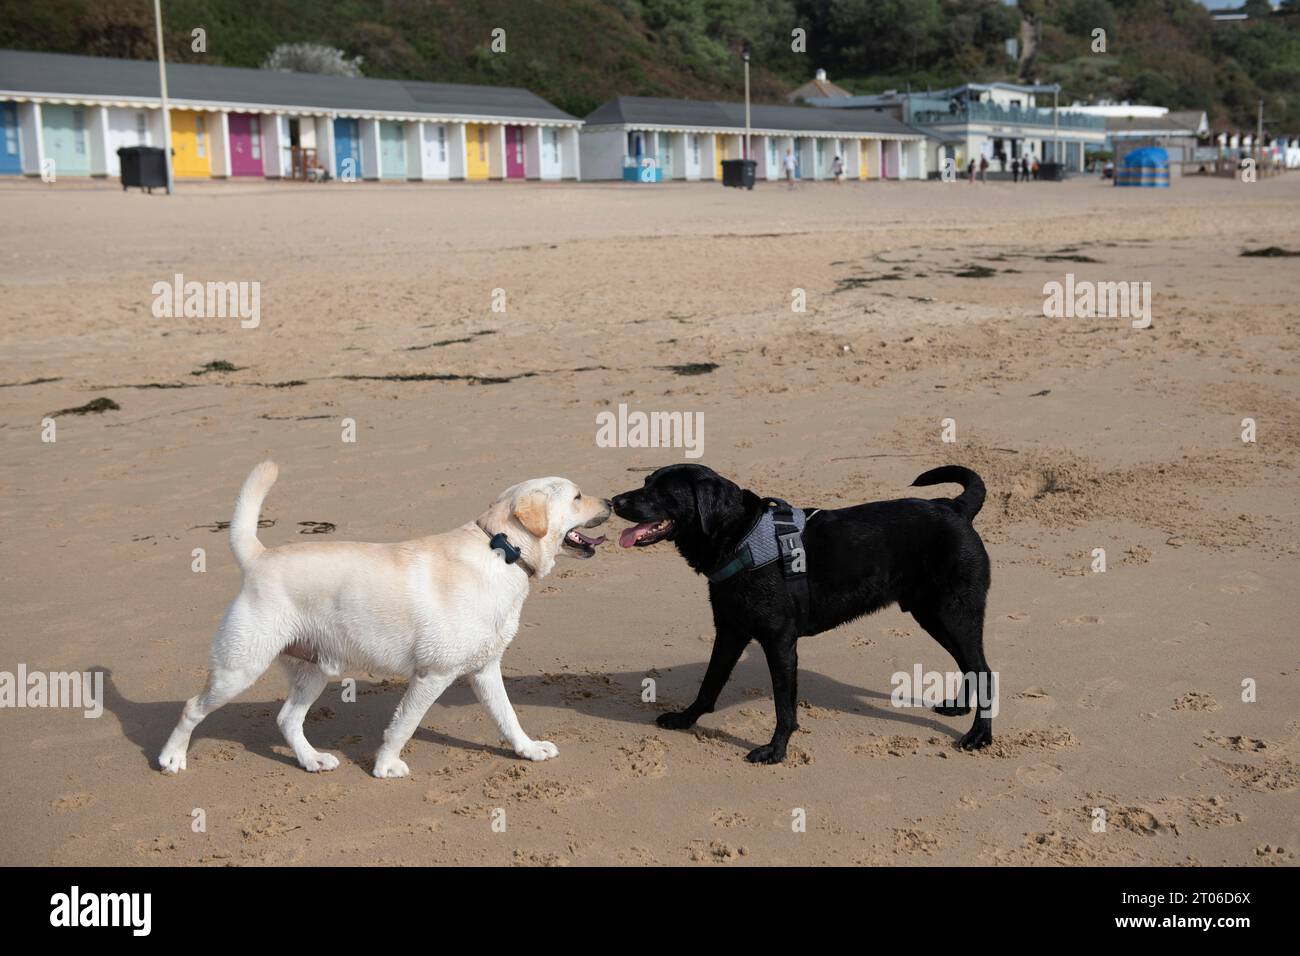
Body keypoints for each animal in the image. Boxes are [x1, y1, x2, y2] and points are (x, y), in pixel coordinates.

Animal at [161, 463, 608, 780]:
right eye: (578, 496)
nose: (610, 502)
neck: (503, 550)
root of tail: (258, 558)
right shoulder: (433, 675)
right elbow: (404, 726)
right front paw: (385, 767)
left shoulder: (485, 670)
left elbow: (509, 718)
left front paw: (528, 750)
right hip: (239, 667)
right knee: (192, 708)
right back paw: (171, 757)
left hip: (313, 671)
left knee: (287, 720)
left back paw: (312, 760)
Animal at [613, 468, 987, 764]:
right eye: (645, 482)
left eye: (661, 491)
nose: (614, 500)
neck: (740, 537)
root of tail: (955, 507)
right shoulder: (730, 631)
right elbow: (709, 684)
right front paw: (685, 719)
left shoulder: (779, 641)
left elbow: (784, 707)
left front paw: (775, 751)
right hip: (935, 617)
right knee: (971, 665)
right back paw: (959, 708)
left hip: (954, 614)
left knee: (983, 669)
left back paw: (980, 736)